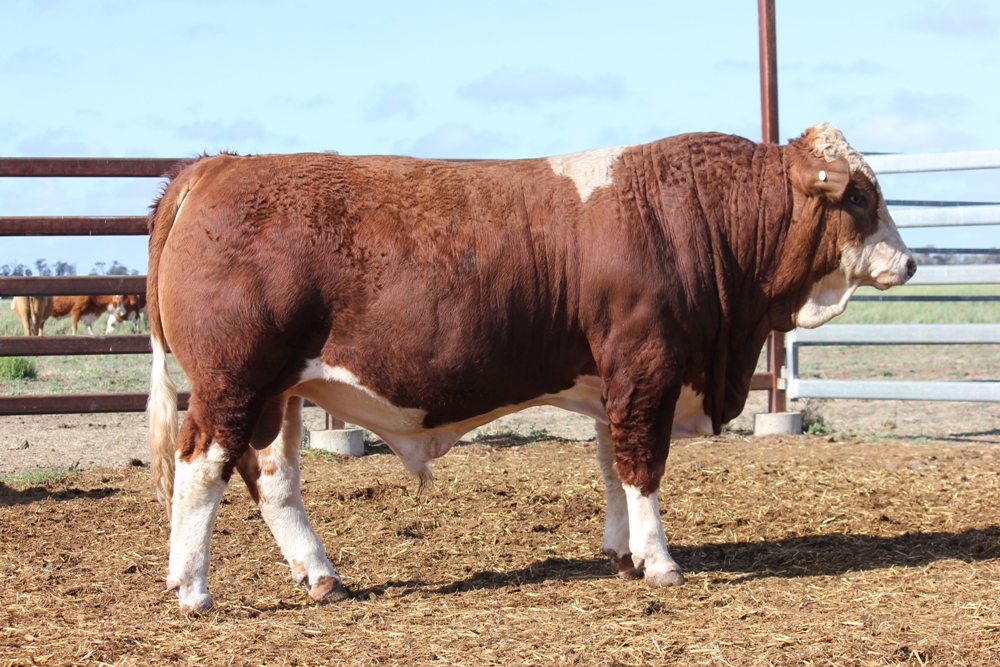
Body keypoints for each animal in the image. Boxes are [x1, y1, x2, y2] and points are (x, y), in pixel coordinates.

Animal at [146, 122, 916, 612]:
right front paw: (662, 563)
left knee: (273, 478)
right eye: (858, 195)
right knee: (200, 466)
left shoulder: (614, 382)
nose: (909, 262)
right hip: (232, 382)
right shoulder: (647, 367)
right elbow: (644, 466)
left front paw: (624, 555)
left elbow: (612, 465)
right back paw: (192, 589)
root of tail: (220, 165)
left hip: (281, 392)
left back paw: (322, 577)